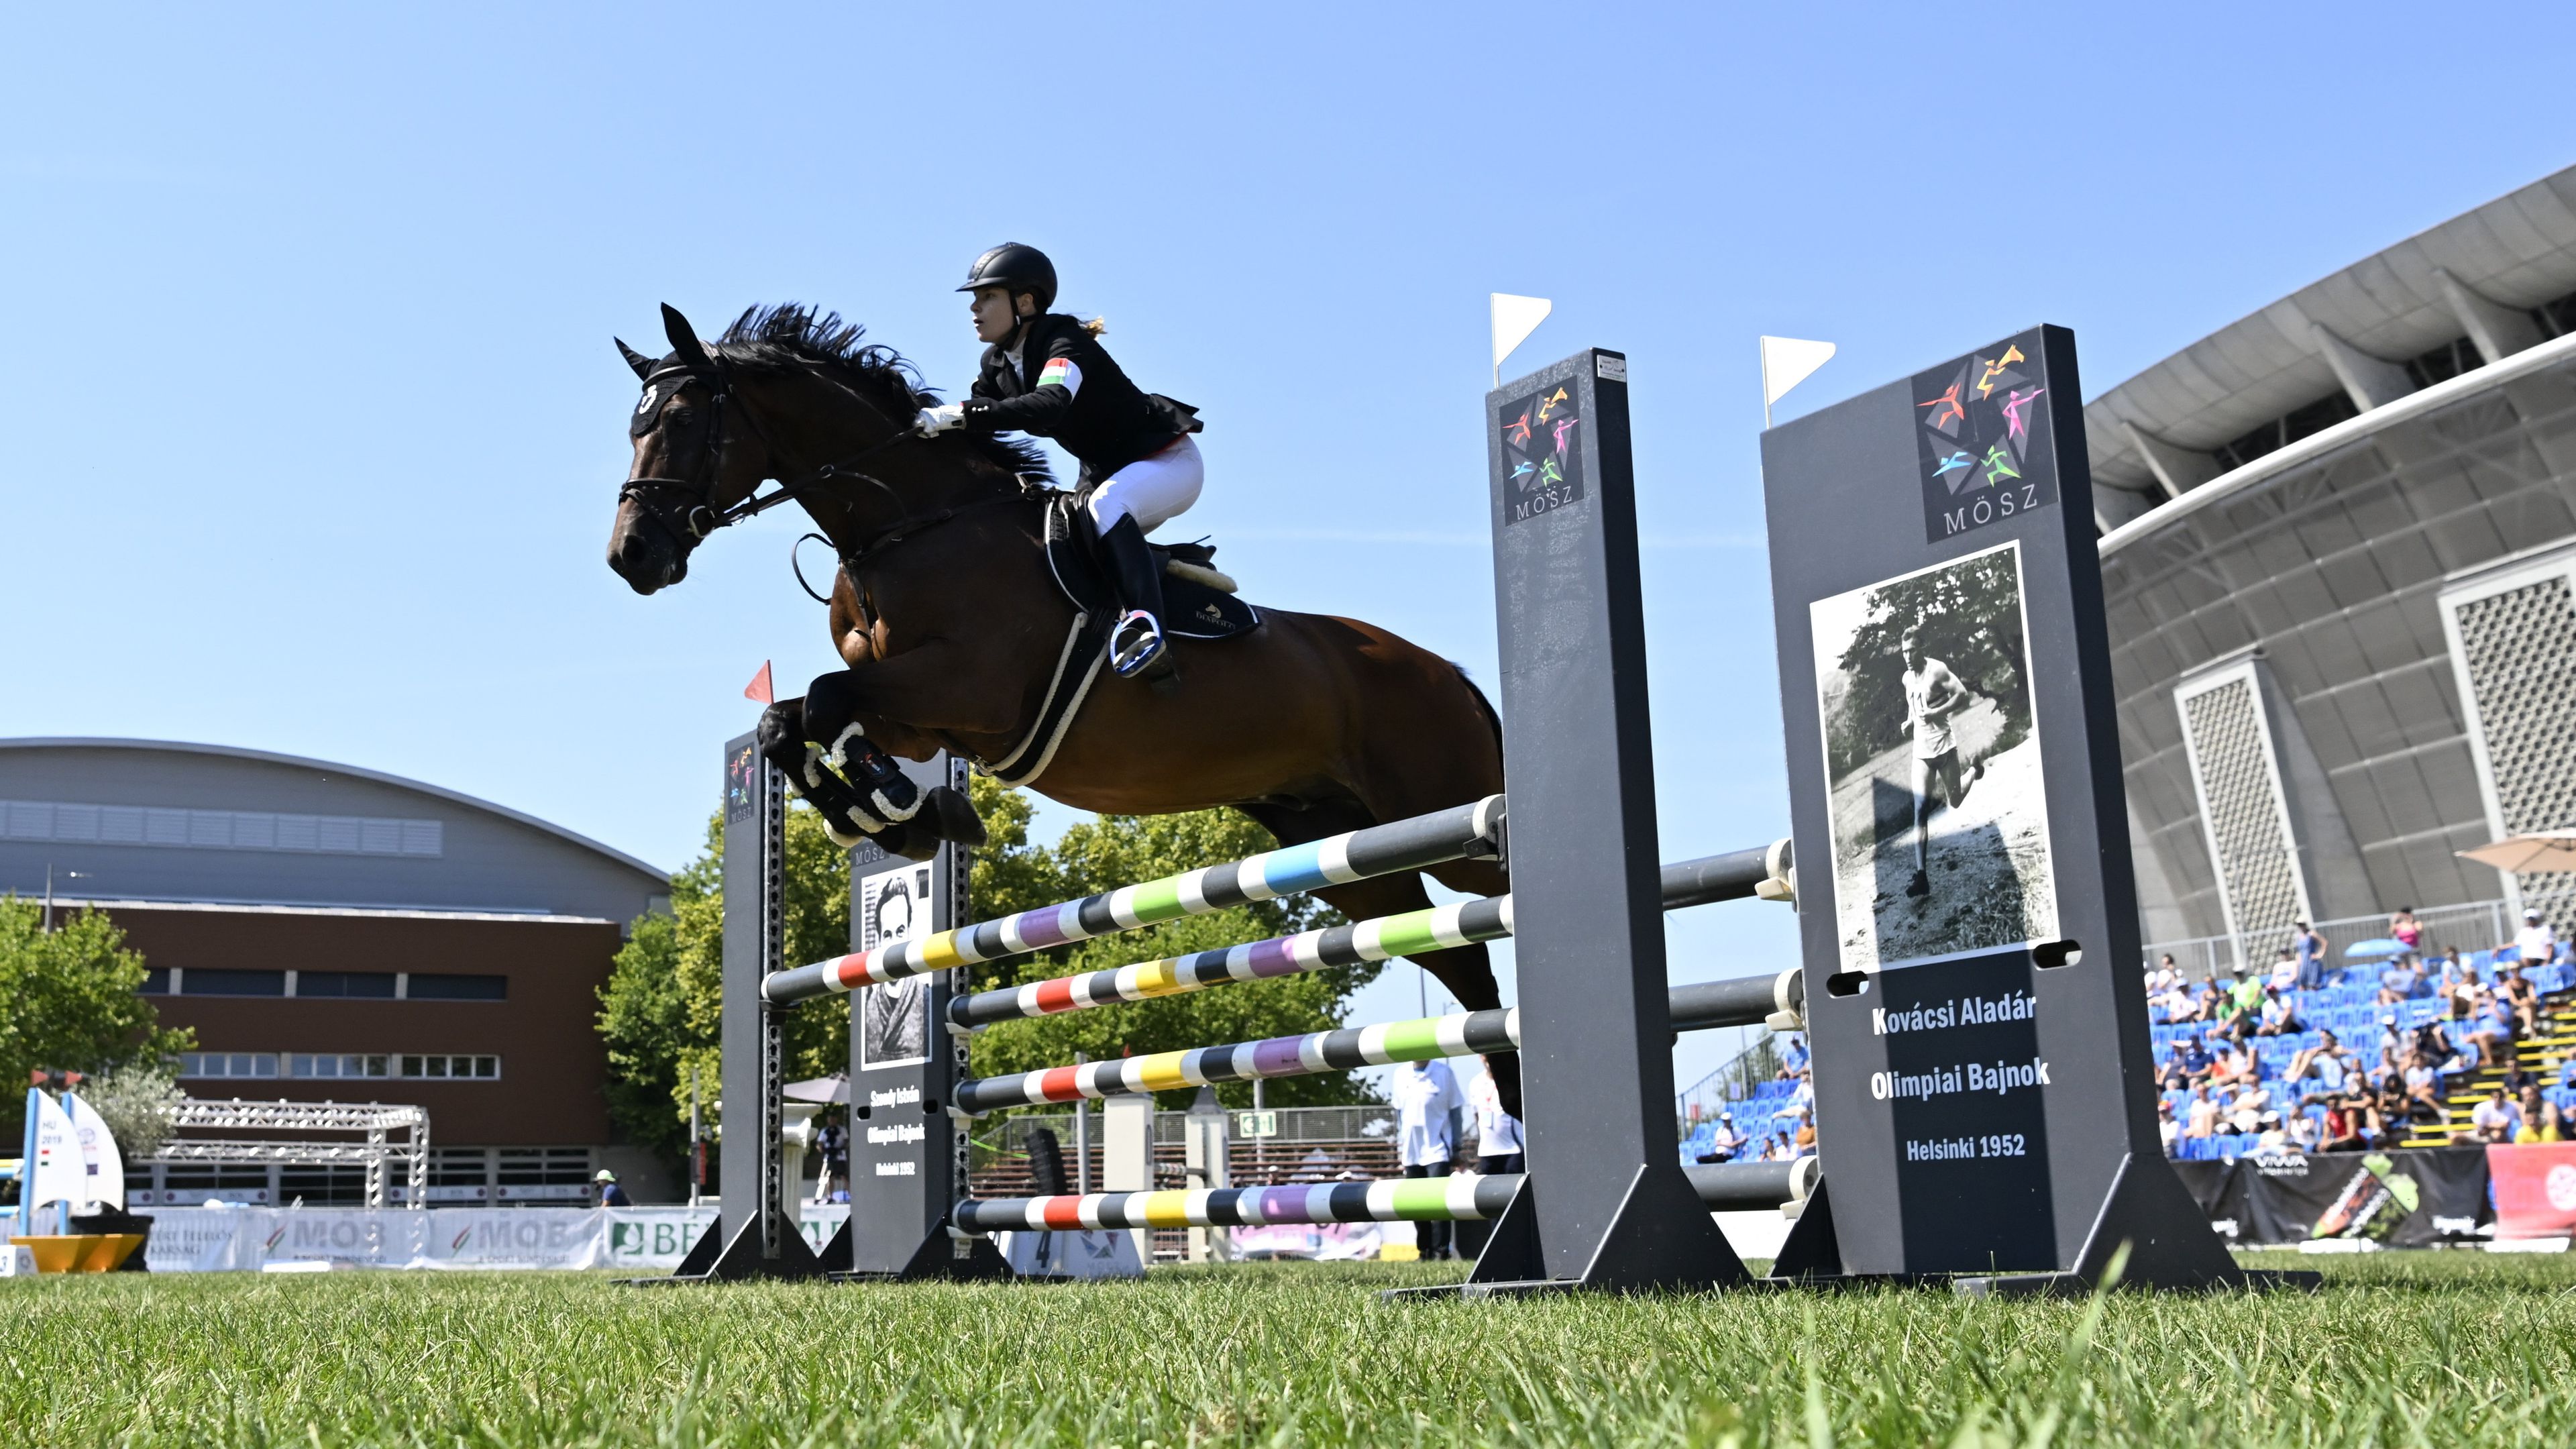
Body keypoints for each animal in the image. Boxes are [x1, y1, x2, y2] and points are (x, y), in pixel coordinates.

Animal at [608, 304, 1504, 1108]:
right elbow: (787, 722)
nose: (632, 556)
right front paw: (898, 817)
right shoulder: (925, 716)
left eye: (682, 420)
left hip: (1442, 812)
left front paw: (895, 804)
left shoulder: (972, 688)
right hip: (1343, 849)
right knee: (1461, 965)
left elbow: (827, 704)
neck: (914, 526)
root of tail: (1451, 676)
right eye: (634, 426)